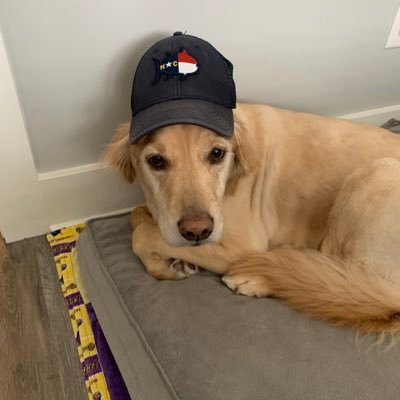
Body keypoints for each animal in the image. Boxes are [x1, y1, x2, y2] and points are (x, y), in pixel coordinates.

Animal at [104, 103, 400, 332]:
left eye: (216, 153)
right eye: (155, 161)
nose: (197, 231)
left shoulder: (238, 245)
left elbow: (141, 234)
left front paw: (164, 267)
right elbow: (138, 215)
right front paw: (178, 260)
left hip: (371, 176)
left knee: (331, 280)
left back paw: (257, 277)